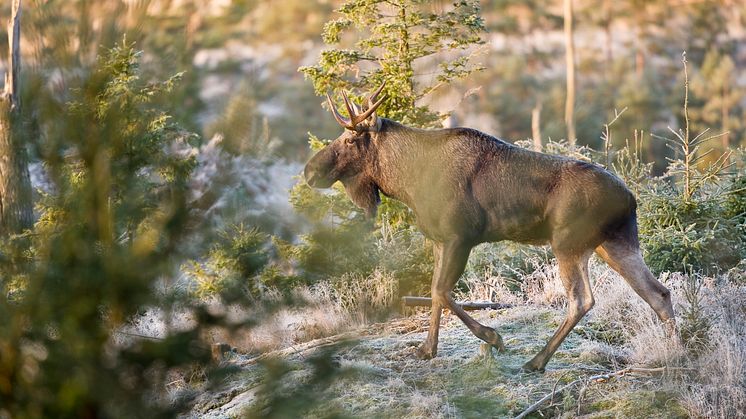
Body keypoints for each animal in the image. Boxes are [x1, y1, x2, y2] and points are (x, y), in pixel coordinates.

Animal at [302, 83, 676, 372]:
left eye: (350, 140)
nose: (309, 171)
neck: (408, 182)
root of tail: (630, 198)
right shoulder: (439, 240)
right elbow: (435, 293)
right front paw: (426, 350)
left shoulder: (461, 236)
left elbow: (441, 291)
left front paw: (493, 338)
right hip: (613, 242)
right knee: (658, 292)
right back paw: (676, 354)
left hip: (568, 243)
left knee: (581, 300)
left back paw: (536, 361)